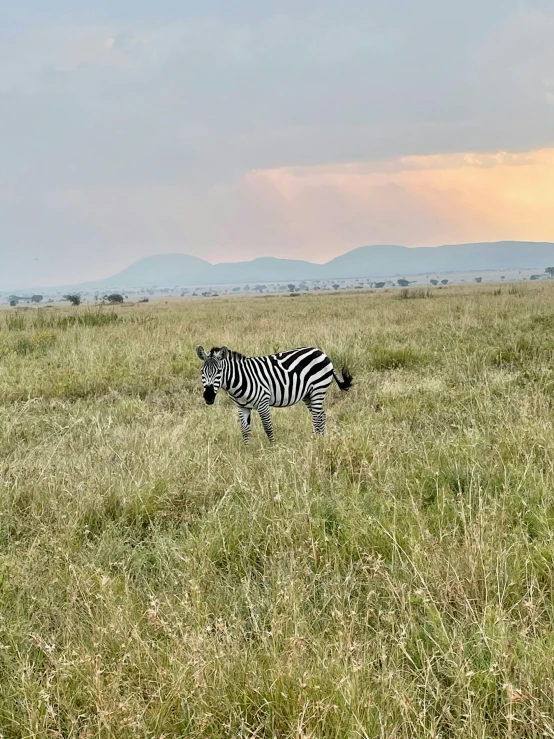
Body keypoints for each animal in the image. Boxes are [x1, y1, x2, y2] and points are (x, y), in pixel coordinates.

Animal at [195, 344, 350, 442]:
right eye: (202, 371)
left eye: (219, 371)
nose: (208, 396)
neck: (241, 378)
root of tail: (321, 352)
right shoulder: (241, 407)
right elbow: (244, 430)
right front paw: (246, 450)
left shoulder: (263, 402)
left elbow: (268, 427)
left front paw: (273, 449)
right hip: (308, 394)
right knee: (321, 415)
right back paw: (321, 439)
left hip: (318, 389)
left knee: (317, 417)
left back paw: (315, 441)